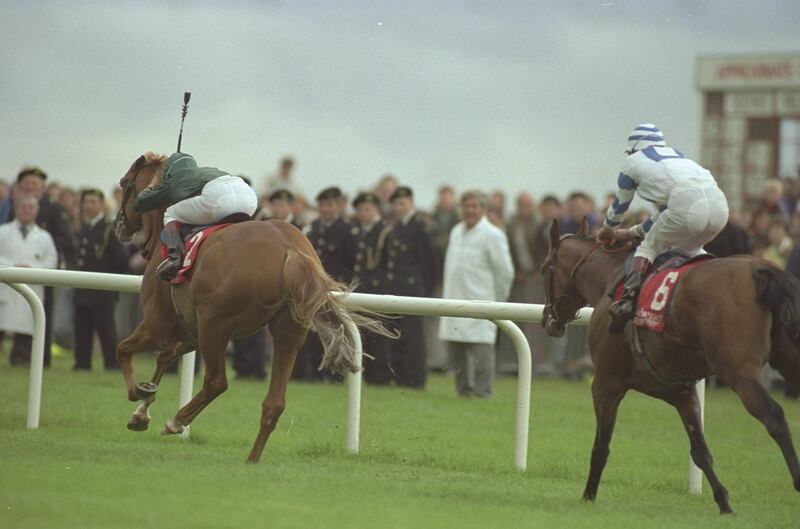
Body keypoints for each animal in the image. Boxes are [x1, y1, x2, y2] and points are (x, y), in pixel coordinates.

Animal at [111, 151, 390, 460]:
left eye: (125, 183)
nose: (119, 226)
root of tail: (290, 250)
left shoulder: (160, 325)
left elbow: (123, 348)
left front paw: (137, 392)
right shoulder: (190, 331)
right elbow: (164, 357)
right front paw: (141, 409)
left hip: (215, 325)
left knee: (217, 382)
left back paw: (177, 420)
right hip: (286, 332)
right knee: (274, 403)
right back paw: (252, 459)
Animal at [540, 218, 800, 512]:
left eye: (544, 269)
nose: (548, 319)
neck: (613, 277)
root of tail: (761, 268)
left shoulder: (606, 383)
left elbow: (601, 446)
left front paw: (588, 496)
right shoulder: (681, 392)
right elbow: (700, 451)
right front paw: (724, 503)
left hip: (739, 371)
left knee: (774, 416)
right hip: (790, 358)